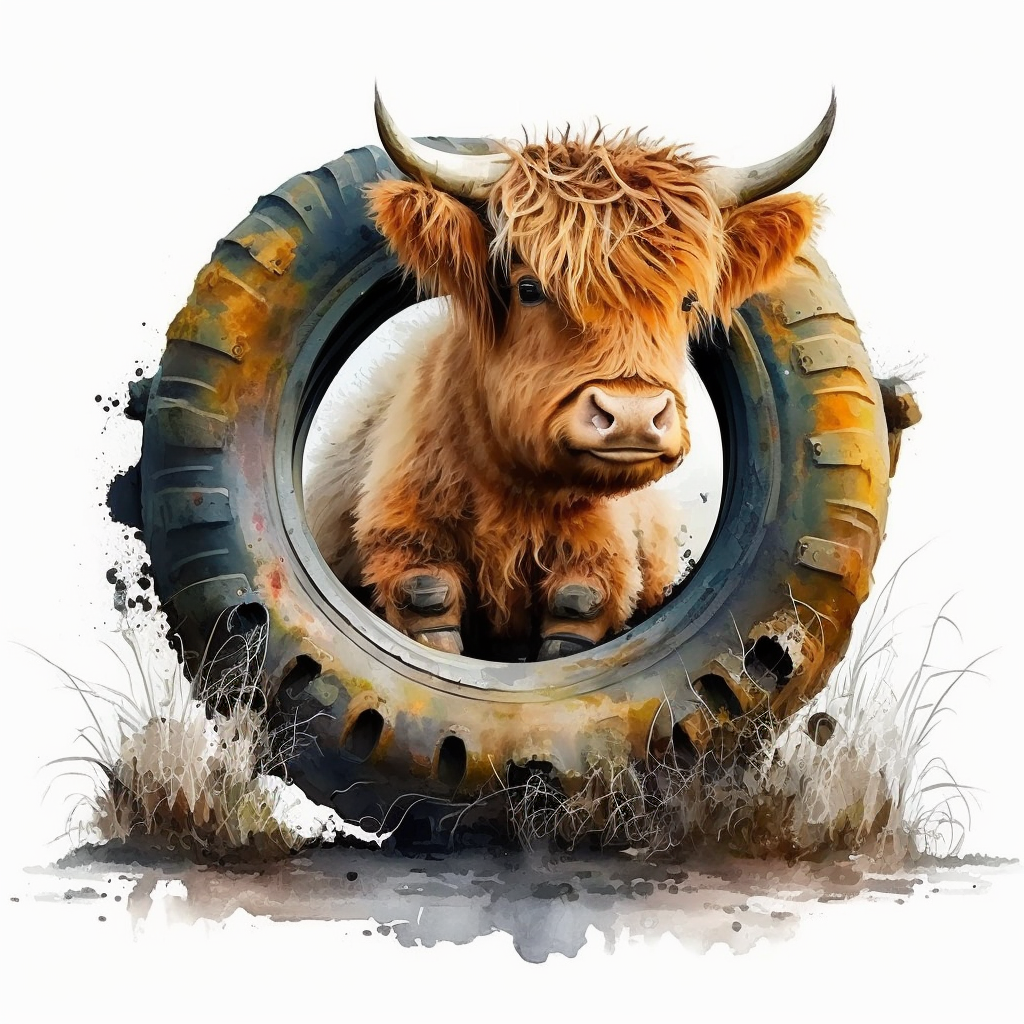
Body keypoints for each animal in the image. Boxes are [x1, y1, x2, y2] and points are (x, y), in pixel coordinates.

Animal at [305, 90, 833, 659]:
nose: (632, 417)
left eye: (689, 302)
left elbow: (575, 610)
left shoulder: (594, 570)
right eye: (529, 288)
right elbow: (430, 609)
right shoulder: (410, 549)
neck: (514, 492)